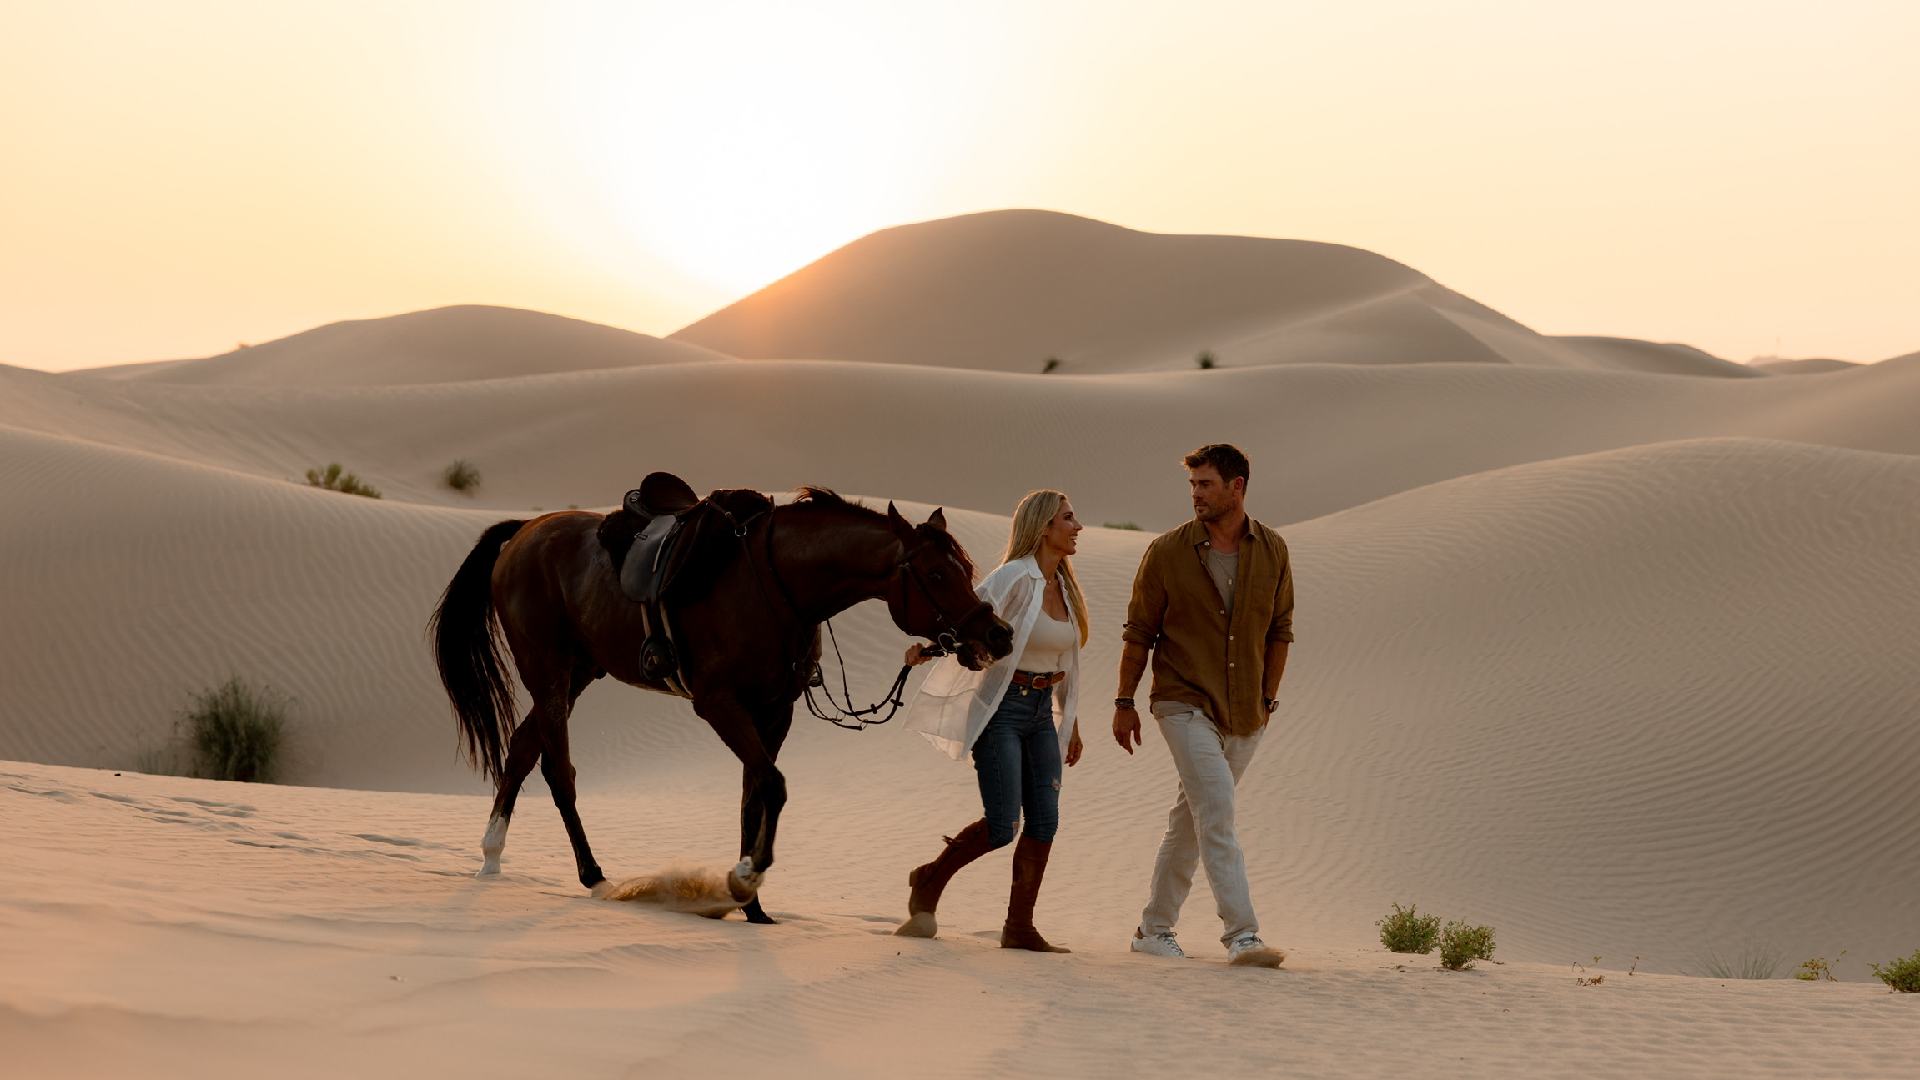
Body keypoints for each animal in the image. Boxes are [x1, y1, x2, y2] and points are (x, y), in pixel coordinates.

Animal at [428, 488, 1014, 923]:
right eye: (936, 574)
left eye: (965, 569)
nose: (999, 634)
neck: (777, 585)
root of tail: (524, 532)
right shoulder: (718, 703)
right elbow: (773, 785)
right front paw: (747, 876)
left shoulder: (775, 711)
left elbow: (754, 793)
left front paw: (752, 904)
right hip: (548, 672)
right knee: (558, 770)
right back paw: (592, 875)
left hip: (578, 673)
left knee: (523, 749)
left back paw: (491, 856)